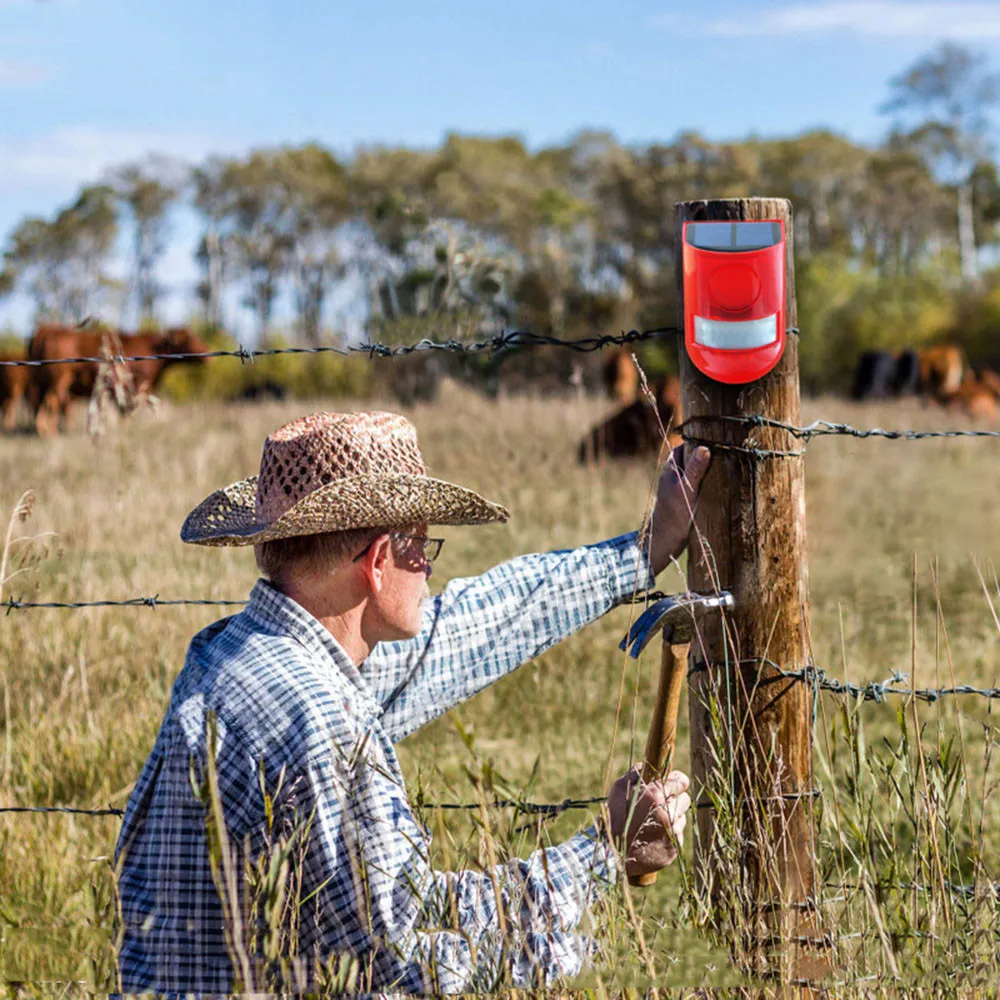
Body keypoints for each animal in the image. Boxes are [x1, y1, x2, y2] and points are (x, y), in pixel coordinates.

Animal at [30, 326, 208, 436]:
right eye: (189, 339)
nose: (205, 352)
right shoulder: (134, 385)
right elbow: (126, 411)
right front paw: (124, 431)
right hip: (58, 380)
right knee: (52, 402)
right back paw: (49, 433)